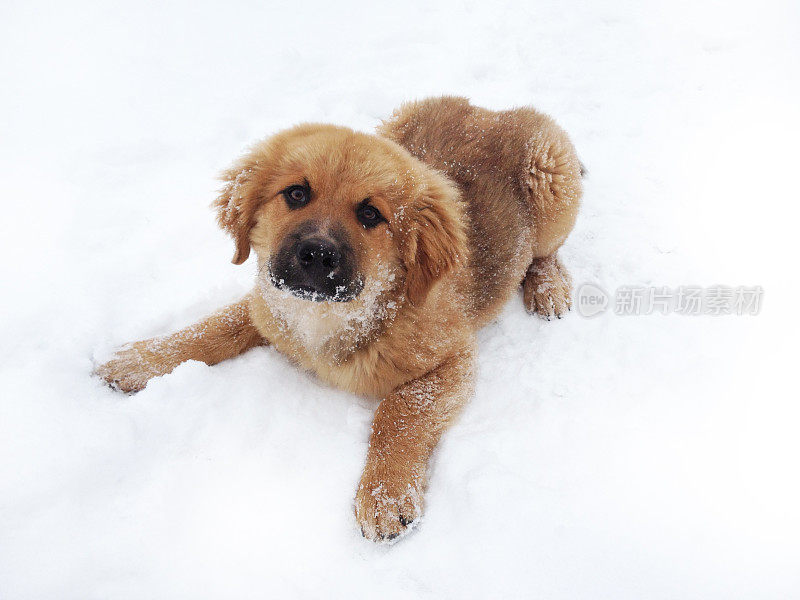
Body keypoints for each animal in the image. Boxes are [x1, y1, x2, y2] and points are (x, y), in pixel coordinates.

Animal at [97, 96, 580, 540]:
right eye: (296, 193)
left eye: (370, 213)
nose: (316, 254)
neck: (330, 315)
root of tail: (491, 110)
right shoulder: (270, 305)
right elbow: (212, 329)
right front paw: (139, 360)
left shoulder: (452, 359)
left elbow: (399, 411)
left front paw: (386, 495)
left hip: (551, 184)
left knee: (546, 252)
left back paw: (548, 287)